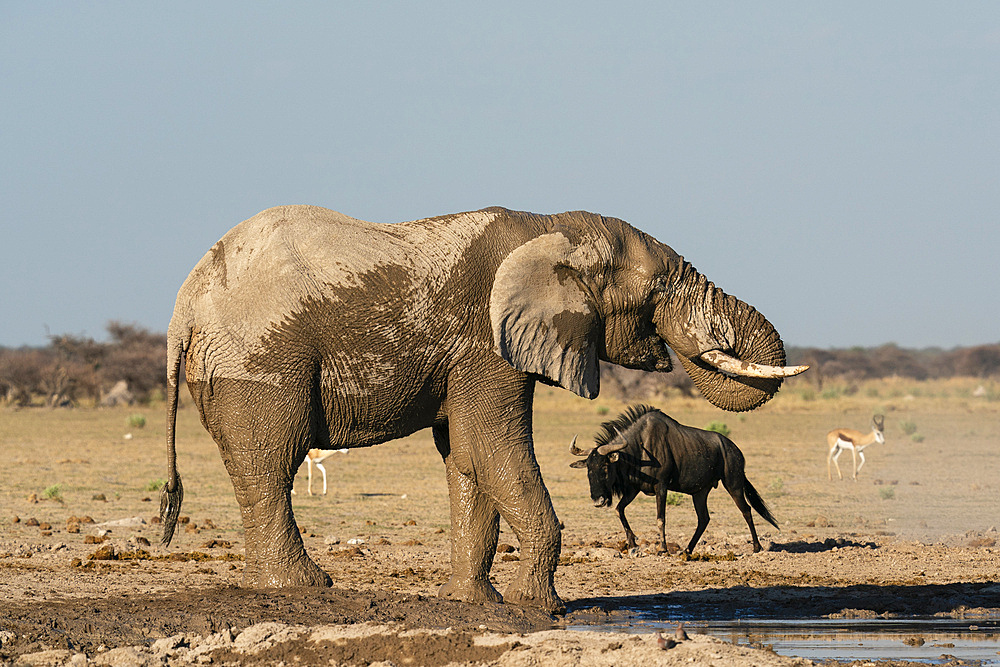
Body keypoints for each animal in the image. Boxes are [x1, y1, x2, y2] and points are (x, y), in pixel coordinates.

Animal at [160, 206, 808, 612]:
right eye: (660, 286)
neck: (550, 227)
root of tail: (182, 310)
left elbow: (468, 458)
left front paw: (475, 602)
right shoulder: (485, 343)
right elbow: (496, 450)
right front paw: (540, 607)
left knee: (258, 471)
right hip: (262, 366)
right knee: (272, 465)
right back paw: (304, 588)